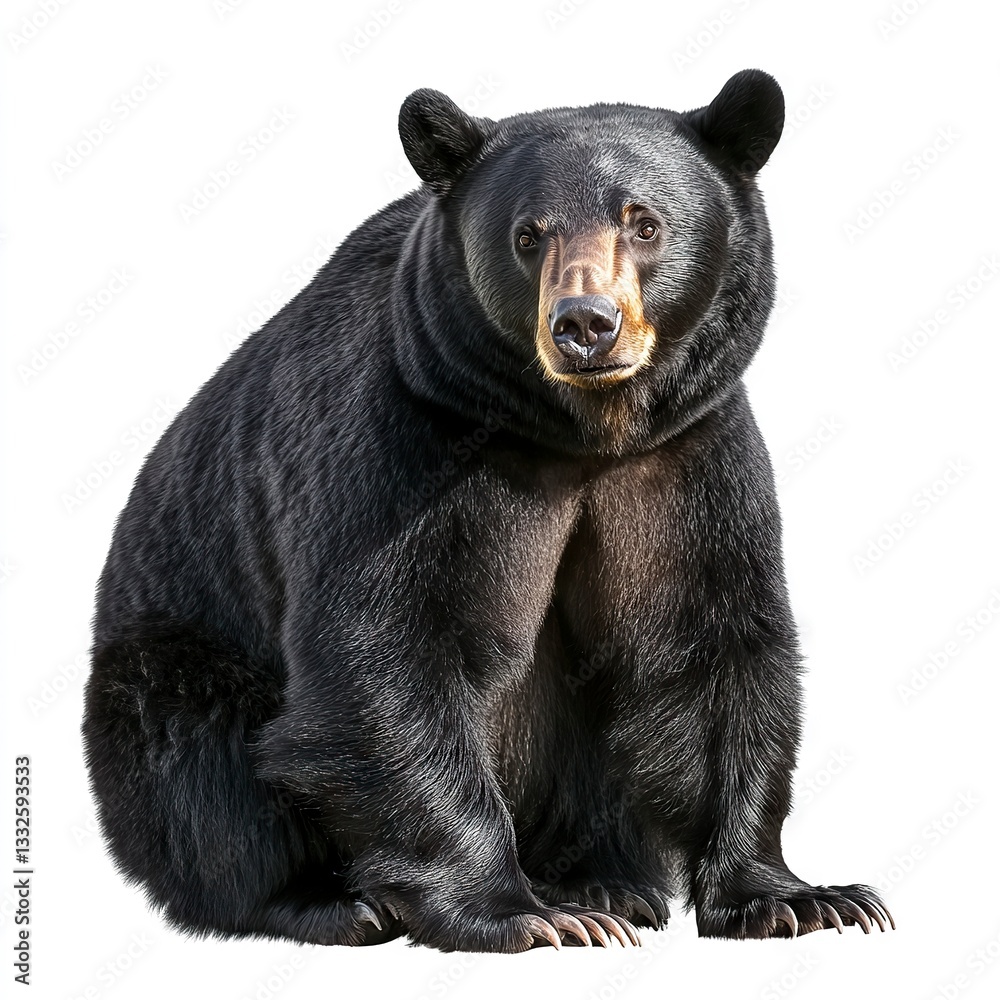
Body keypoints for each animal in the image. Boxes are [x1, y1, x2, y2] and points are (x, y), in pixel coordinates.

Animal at [82, 69, 894, 953]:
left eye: (644, 222)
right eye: (528, 235)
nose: (584, 325)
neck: (580, 434)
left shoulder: (687, 462)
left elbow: (710, 643)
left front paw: (800, 897)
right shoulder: (405, 445)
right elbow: (389, 647)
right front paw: (522, 913)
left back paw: (604, 882)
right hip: (172, 662)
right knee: (209, 777)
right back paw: (339, 901)